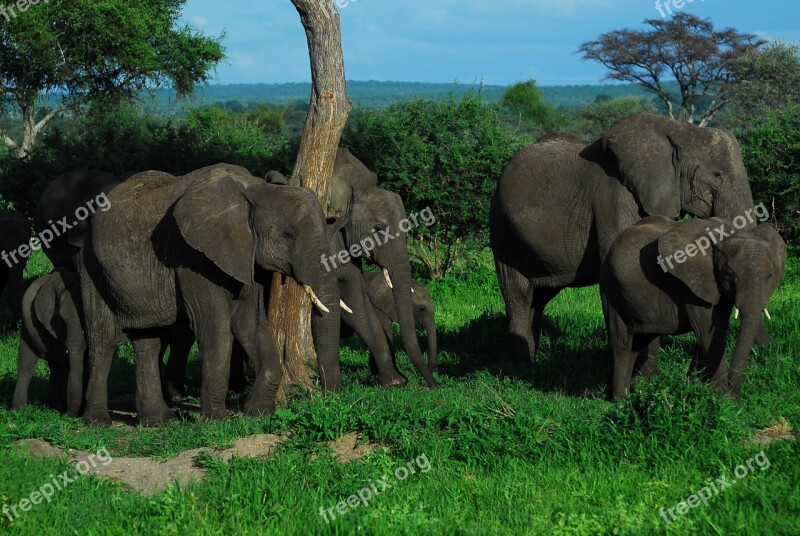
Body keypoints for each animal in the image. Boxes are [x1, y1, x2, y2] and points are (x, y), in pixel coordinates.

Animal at [12, 268, 85, 414]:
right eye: (62, 319)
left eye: (84, 316)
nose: (72, 416)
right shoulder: (52, 325)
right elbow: (65, 362)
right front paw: (66, 411)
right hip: (27, 327)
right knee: (26, 363)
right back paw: (19, 411)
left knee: (54, 365)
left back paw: (53, 407)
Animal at [75, 164, 338, 428]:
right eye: (288, 235)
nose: (328, 399)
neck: (254, 189)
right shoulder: (191, 257)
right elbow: (214, 326)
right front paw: (218, 420)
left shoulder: (245, 256)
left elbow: (249, 323)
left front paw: (258, 412)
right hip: (91, 268)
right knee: (104, 338)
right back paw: (98, 422)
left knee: (148, 340)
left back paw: (159, 421)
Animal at [490, 112, 760, 364]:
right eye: (717, 175)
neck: (679, 131)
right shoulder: (613, 197)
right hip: (502, 227)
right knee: (519, 292)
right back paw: (520, 366)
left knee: (541, 296)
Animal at [604, 215, 784, 398]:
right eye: (729, 275)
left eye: (770, 276)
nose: (737, 396)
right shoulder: (693, 287)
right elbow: (709, 334)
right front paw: (721, 398)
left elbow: (710, 331)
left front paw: (694, 385)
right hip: (612, 290)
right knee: (622, 343)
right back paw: (620, 401)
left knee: (638, 342)